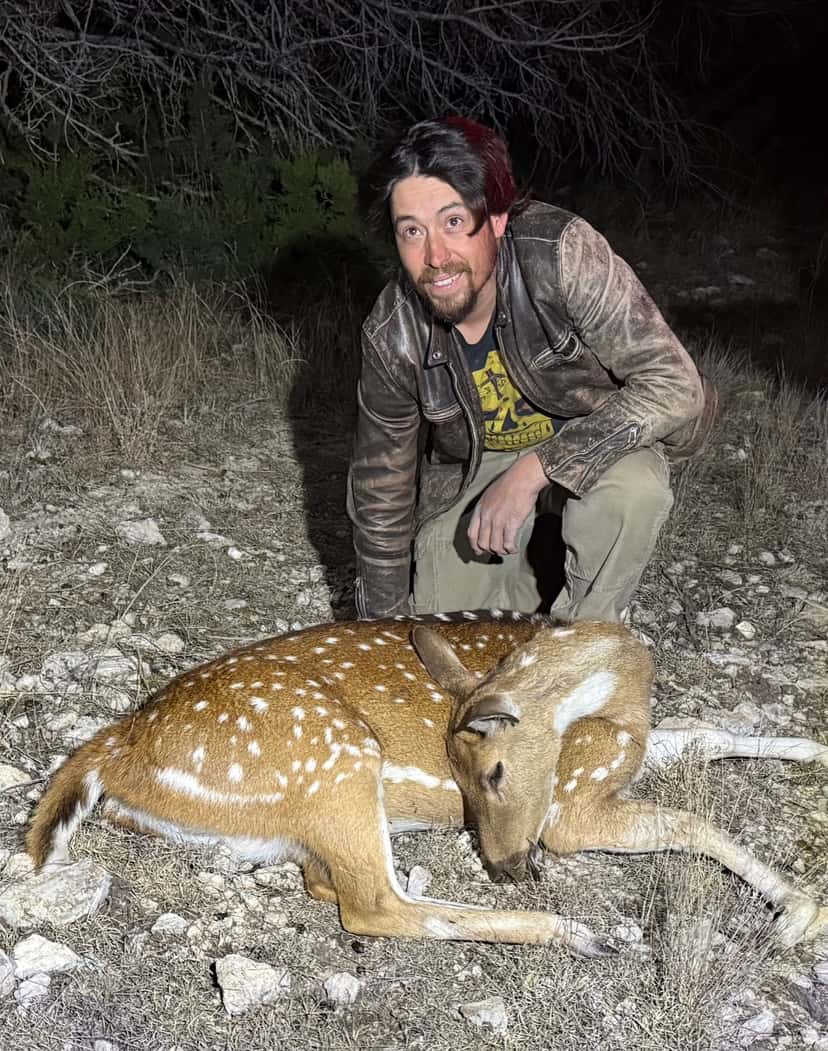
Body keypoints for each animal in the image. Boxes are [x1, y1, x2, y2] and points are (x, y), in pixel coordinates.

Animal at [27, 612, 828, 955]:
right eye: (475, 776)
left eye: (494, 771)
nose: (507, 865)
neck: (622, 692)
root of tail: (112, 748)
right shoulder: (572, 801)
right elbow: (693, 821)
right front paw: (796, 914)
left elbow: (707, 733)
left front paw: (813, 746)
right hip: (335, 753)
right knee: (373, 905)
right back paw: (577, 933)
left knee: (330, 884)